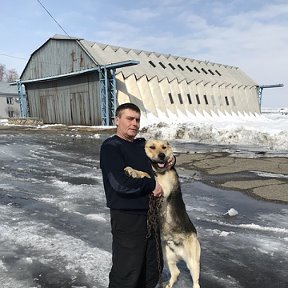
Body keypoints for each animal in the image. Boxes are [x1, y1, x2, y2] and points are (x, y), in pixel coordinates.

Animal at [125, 140, 201, 288]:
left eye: (164, 147)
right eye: (152, 147)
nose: (162, 155)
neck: (159, 171)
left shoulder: (162, 189)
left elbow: (147, 175)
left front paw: (133, 170)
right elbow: (147, 174)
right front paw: (131, 170)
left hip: (193, 262)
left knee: (196, 281)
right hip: (167, 256)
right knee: (176, 272)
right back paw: (168, 285)